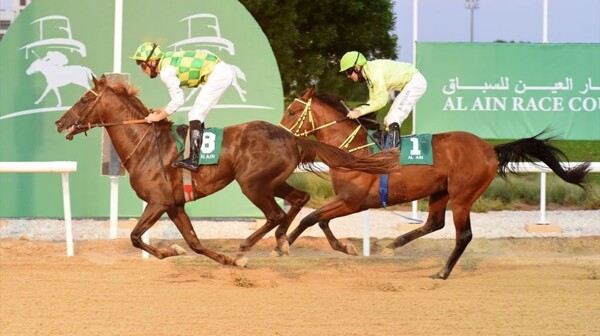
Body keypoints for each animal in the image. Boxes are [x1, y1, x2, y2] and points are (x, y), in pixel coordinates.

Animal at [55, 76, 398, 268]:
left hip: (252, 183)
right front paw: (221, 259)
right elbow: (193, 242)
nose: (60, 122)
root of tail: (292, 136)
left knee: (276, 213)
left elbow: (135, 236)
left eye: (83, 99)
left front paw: (171, 252)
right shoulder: (174, 204)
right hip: (271, 182)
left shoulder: (158, 201)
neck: (147, 145)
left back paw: (250, 245)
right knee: (299, 199)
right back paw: (281, 242)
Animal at [282, 86, 592, 278]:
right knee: (434, 223)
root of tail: (489, 149)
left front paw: (283, 244)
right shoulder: (347, 200)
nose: (280, 133)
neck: (354, 150)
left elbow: (311, 218)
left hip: (463, 194)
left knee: (463, 234)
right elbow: (320, 220)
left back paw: (442, 272)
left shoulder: (353, 201)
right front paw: (344, 247)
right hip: (440, 191)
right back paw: (395, 245)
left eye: (293, 111)